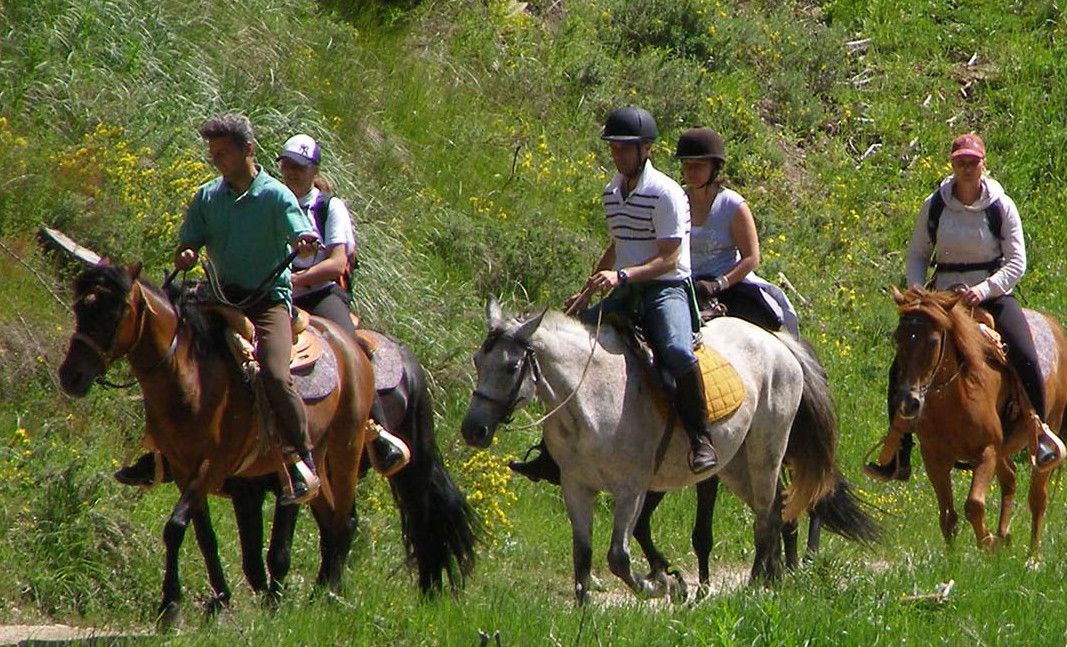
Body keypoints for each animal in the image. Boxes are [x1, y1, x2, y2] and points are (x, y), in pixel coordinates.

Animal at [58, 261, 375, 625]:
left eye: (112, 313)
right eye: (80, 309)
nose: (70, 377)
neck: (192, 378)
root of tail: (351, 347)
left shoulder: (213, 465)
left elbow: (177, 526)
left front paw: (171, 606)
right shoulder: (184, 468)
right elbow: (203, 535)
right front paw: (216, 599)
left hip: (345, 448)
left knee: (344, 521)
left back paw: (331, 593)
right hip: (317, 461)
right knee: (328, 518)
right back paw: (319, 591)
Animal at [225, 333, 479, 598]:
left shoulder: (295, 487)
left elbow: (279, 553)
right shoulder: (245, 491)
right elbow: (250, 559)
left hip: (411, 468)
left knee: (422, 526)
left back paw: (428, 592)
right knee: (342, 526)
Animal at [461, 298, 878, 603]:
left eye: (511, 366)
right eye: (478, 361)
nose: (473, 430)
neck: (591, 396)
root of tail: (777, 342)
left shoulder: (631, 489)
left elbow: (618, 557)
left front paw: (664, 584)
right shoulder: (576, 486)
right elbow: (583, 555)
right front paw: (585, 611)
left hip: (766, 453)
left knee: (766, 514)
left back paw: (756, 585)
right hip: (735, 464)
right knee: (776, 507)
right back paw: (770, 578)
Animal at [889, 286, 1067, 554]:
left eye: (933, 342)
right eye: (897, 338)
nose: (908, 402)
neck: (957, 395)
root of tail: (1055, 326)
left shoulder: (986, 452)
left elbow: (973, 505)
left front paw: (988, 543)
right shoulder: (934, 457)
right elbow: (947, 515)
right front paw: (954, 558)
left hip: (1043, 441)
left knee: (1038, 498)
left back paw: (1032, 555)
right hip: (1004, 449)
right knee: (1010, 477)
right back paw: (1004, 535)